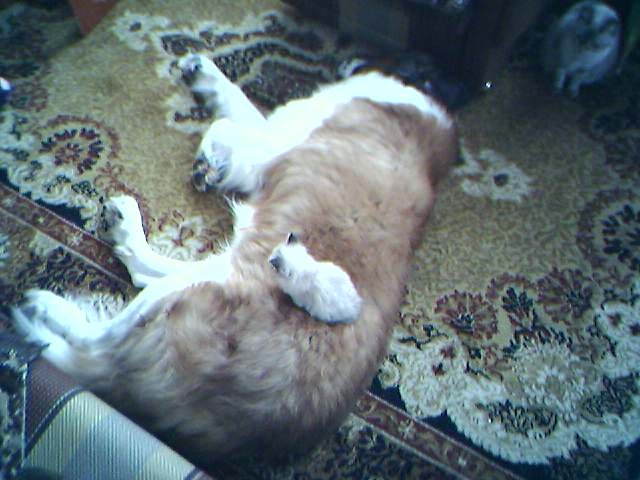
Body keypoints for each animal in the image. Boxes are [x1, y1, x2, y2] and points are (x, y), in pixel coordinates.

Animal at [11, 54, 457, 462]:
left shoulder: (279, 142)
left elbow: (226, 123)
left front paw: (209, 159)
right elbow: (239, 103)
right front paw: (204, 73)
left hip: (197, 290)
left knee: (102, 337)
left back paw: (48, 310)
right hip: (220, 269)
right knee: (142, 274)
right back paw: (125, 231)